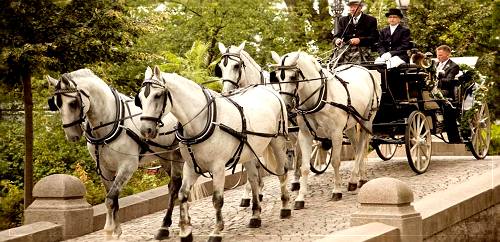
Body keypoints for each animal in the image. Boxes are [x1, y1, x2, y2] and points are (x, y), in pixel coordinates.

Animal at [47, 69, 182, 239]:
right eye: (57, 104)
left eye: (72, 103)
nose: (72, 136)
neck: (111, 122)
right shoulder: (105, 169)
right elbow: (113, 198)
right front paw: (117, 230)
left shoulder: (127, 166)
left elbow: (110, 199)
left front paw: (109, 231)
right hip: (164, 157)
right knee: (173, 186)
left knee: (177, 185)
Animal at [138, 65, 292, 240]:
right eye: (140, 99)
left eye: (157, 95)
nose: (145, 130)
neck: (204, 121)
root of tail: (270, 90)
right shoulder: (191, 167)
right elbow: (182, 194)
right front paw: (185, 231)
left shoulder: (218, 168)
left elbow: (217, 199)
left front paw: (217, 230)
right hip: (248, 152)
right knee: (253, 180)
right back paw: (255, 216)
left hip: (277, 142)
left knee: (282, 172)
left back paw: (285, 206)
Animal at [272, 50, 380, 208]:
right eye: (278, 77)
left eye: (293, 77)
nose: (285, 106)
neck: (319, 96)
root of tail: (364, 69)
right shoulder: (305, 135)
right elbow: (305, 167)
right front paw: (300, 198)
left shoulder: (336, 134)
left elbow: (335, 161)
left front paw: (337, 191)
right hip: (350, 125)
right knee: (356, 146)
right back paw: (360, 178)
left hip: (367, 120)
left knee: (361, 147)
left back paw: (354, 179)